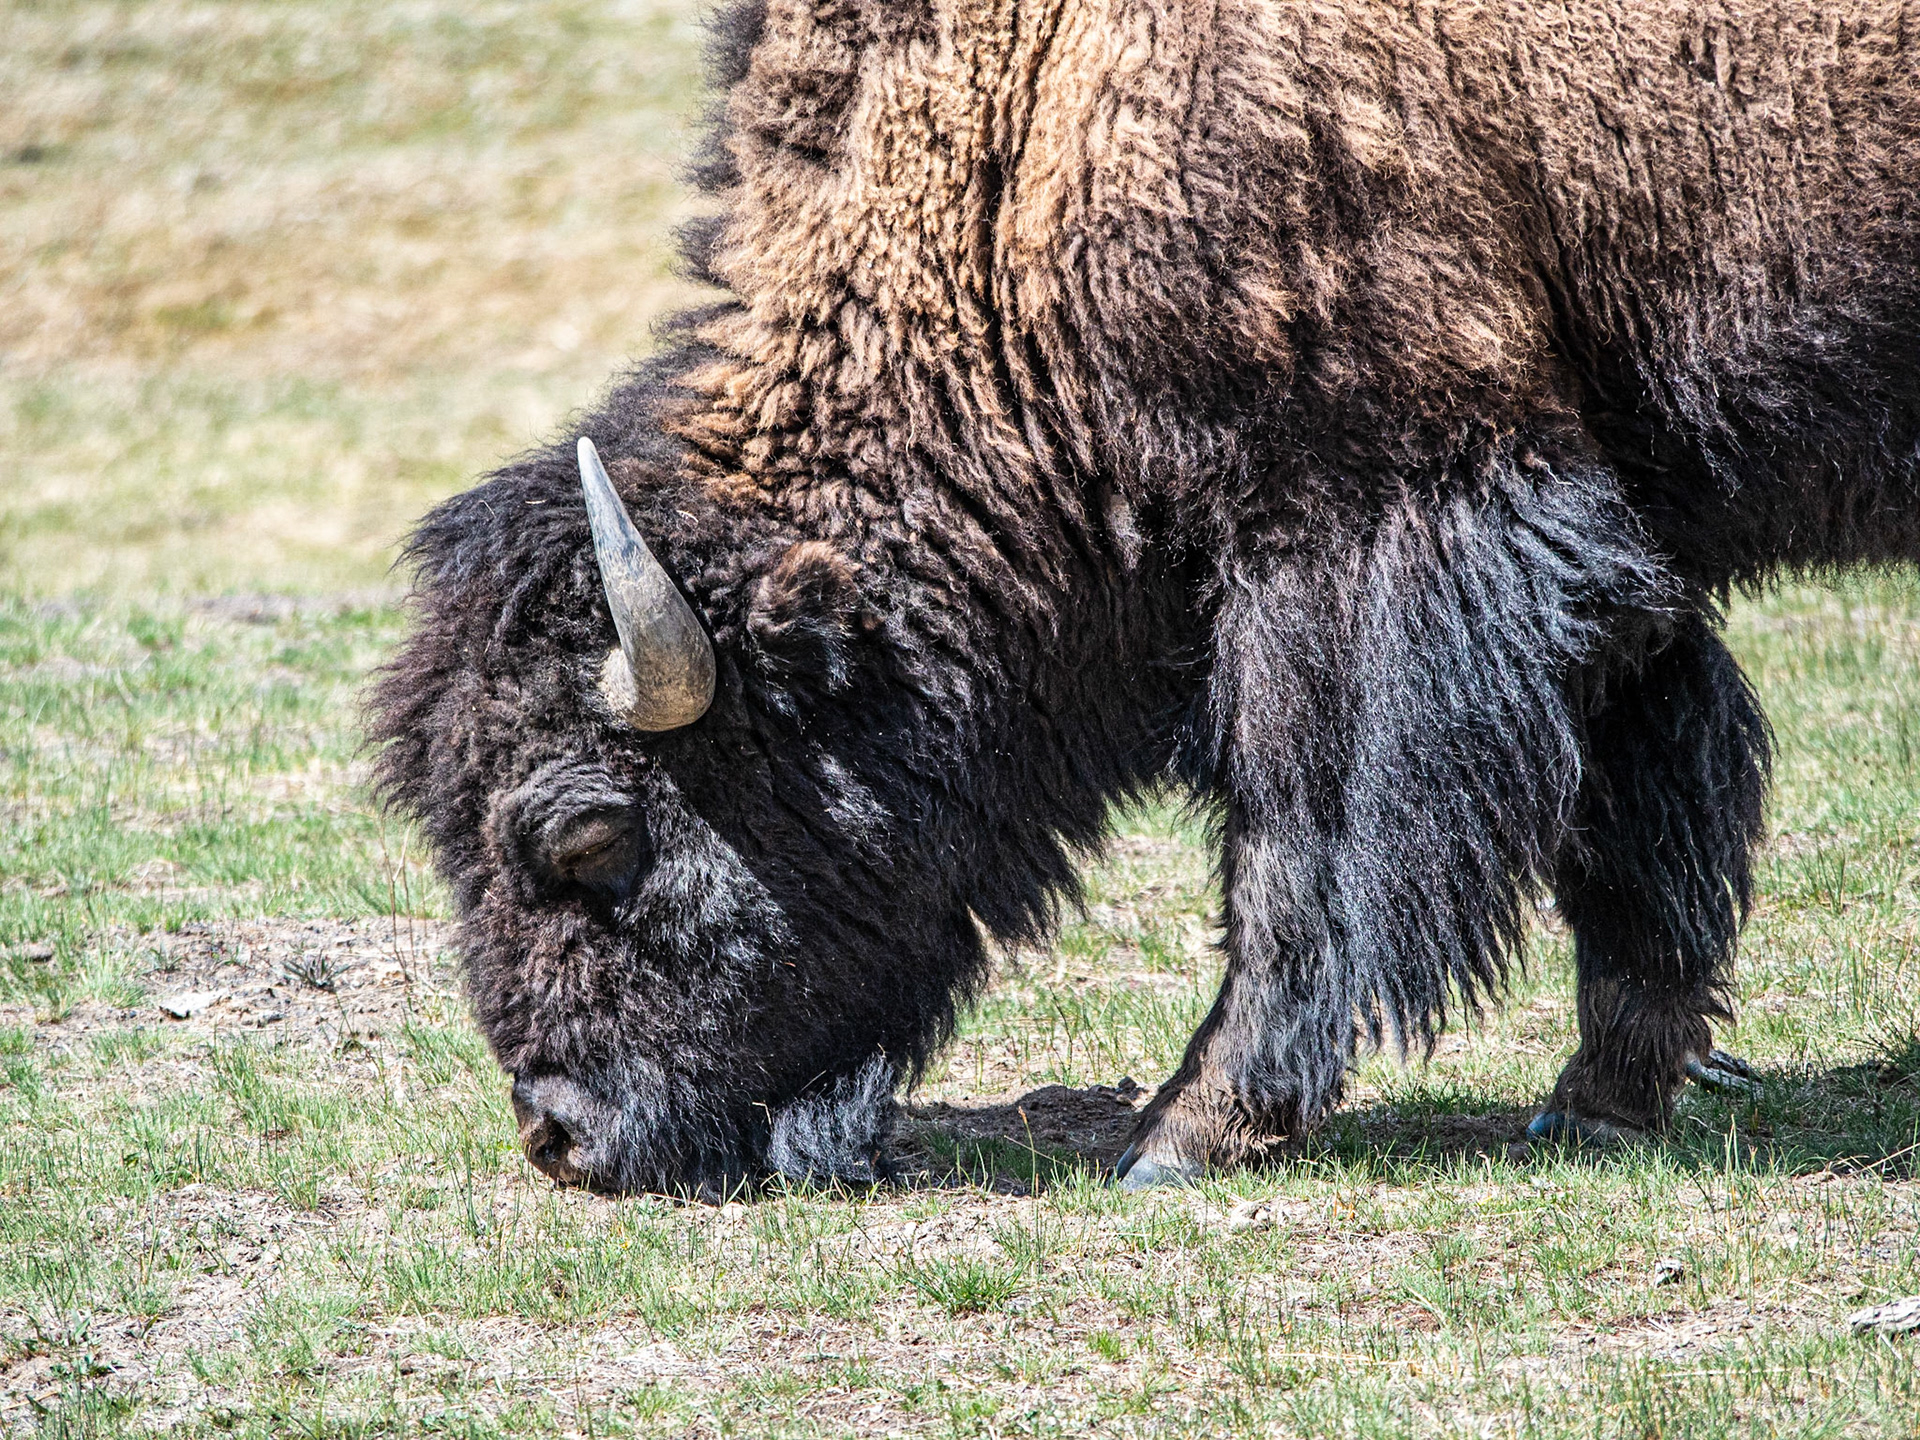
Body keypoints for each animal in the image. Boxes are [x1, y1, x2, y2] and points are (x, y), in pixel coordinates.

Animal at [372, 0, 1920, 1194]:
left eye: (589, 835)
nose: (560, 1136)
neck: (1020, 132)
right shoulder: (1613, 551)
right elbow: (1639, 804)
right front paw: (1601, 1100)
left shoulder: (1360, 532)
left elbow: (1300, 838)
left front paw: (1187, 1132)